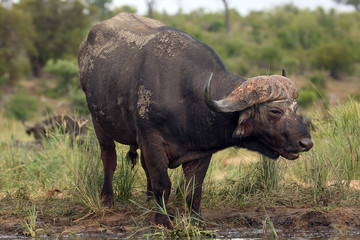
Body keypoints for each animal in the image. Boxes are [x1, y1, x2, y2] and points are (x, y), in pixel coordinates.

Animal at [78, 12, 312, 227]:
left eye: (295, 108)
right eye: (275, 111)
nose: (306, 143)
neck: (188, 95)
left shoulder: (200, 150)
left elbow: (194, 189)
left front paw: (196, 219)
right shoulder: (151, 139)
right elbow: (163, 184)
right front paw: (163, 220)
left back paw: (148, 200)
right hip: (99, 122)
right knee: (109, 158)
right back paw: (107, 199)